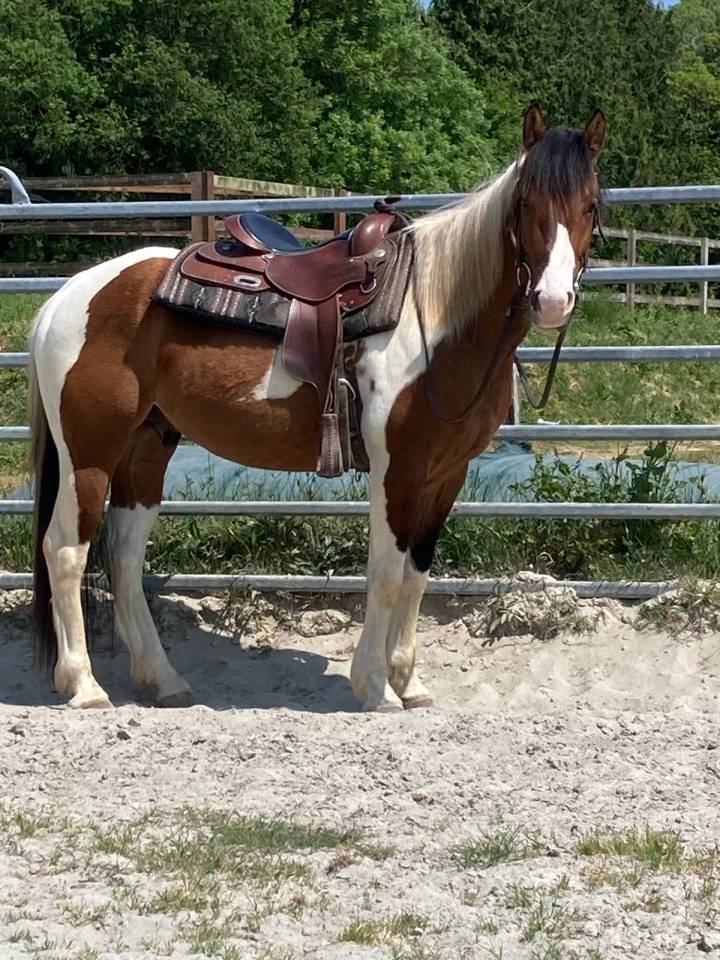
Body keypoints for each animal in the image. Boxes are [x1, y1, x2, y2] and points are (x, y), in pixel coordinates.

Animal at [28, 104, 606, 711]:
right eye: (526, 202)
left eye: (591, 204)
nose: (552, 301)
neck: (437, 318)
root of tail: (66, 297)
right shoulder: (397, 471)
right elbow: (387, 573)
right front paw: (375, 686)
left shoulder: (446, 474)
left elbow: (418, 575)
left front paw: (410, 681)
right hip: (89, 454)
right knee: (65, 550)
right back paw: (85, 686)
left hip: (146, 449)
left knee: (123, 556)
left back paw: (162, 679)